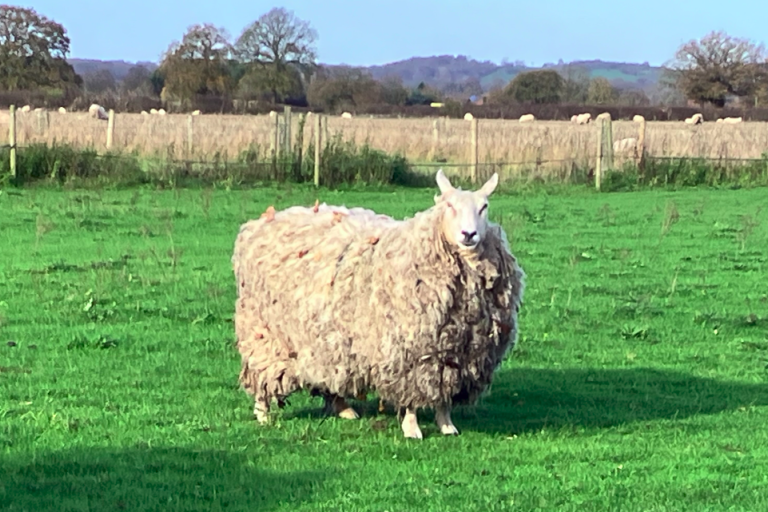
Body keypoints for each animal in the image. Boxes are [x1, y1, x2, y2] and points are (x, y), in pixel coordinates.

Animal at [232, 169, 525, 439]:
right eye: (449, 206)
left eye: (484, 207)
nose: (469, 234)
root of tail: (259, 223)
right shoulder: (408, 351)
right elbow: (412, 395)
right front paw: (412, 428)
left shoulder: (453, 352)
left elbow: (442, 390)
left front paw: (446, 425)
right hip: (265, 332)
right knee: (261, 371)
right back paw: (263, 413)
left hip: (326, 338)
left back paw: (343, 408)